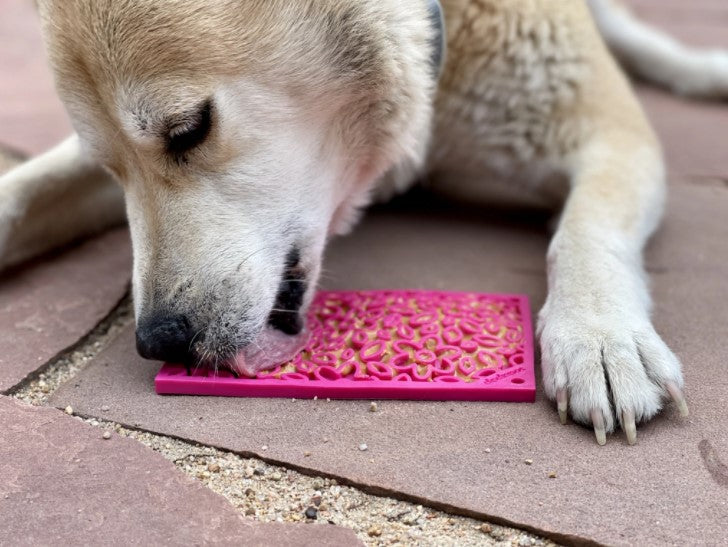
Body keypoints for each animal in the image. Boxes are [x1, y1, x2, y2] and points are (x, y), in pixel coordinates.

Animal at [0, 1, 724, 446]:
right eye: (111, 167)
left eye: (189, 129)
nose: (159, 341)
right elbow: (21, 198)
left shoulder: (605, 128)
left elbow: (586, 229)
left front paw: (600, 336)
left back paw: (699, 71)